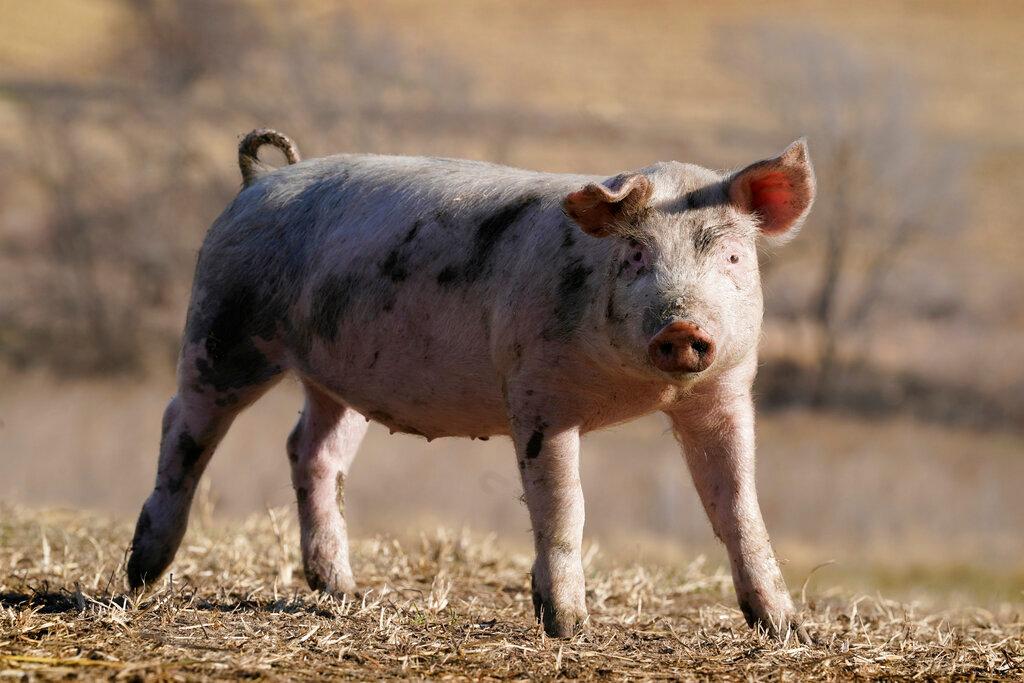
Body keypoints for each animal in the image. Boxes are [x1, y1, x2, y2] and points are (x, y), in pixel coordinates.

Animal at [128, 127, 815, 643]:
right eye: (636, 255)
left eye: (731, 258)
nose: (682, 328)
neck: (643, 390)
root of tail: (260, 182)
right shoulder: (538, 396)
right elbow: (564, 506)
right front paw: (570, 628)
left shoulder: (725, 392)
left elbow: (738, 506)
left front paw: (786, 629)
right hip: (224, 328)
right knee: (182, 425)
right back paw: (141, 576)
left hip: (337, 376)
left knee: (311, 450)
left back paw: (343, 592)